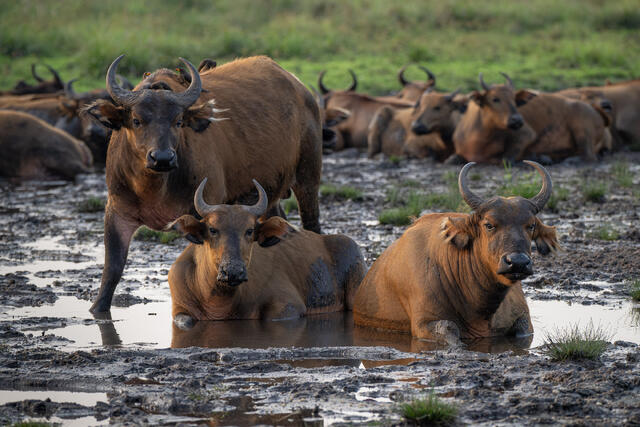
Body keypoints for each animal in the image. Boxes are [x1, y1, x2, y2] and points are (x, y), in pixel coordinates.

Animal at [84, 55, 322, 313]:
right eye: (137, 120)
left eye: (178, 121)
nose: (162, 158)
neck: (153, 188)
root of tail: (300, 88)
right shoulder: (117, 212)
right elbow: (112, 269)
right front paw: (97, 308)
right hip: (267, 195)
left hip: (308, 175)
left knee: (312, 225)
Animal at [168, 179, 365, 327]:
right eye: (212, 229)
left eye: (249, 230)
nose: (233, 271)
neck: (218, 302)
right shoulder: (180, 308)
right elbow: (185, 321)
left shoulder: (289, 306)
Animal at [354, 161, 558, 343]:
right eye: (489, 224)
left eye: (531, 225)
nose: (517, 262)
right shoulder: (423, 323)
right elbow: (448, 328)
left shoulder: (523, 318)